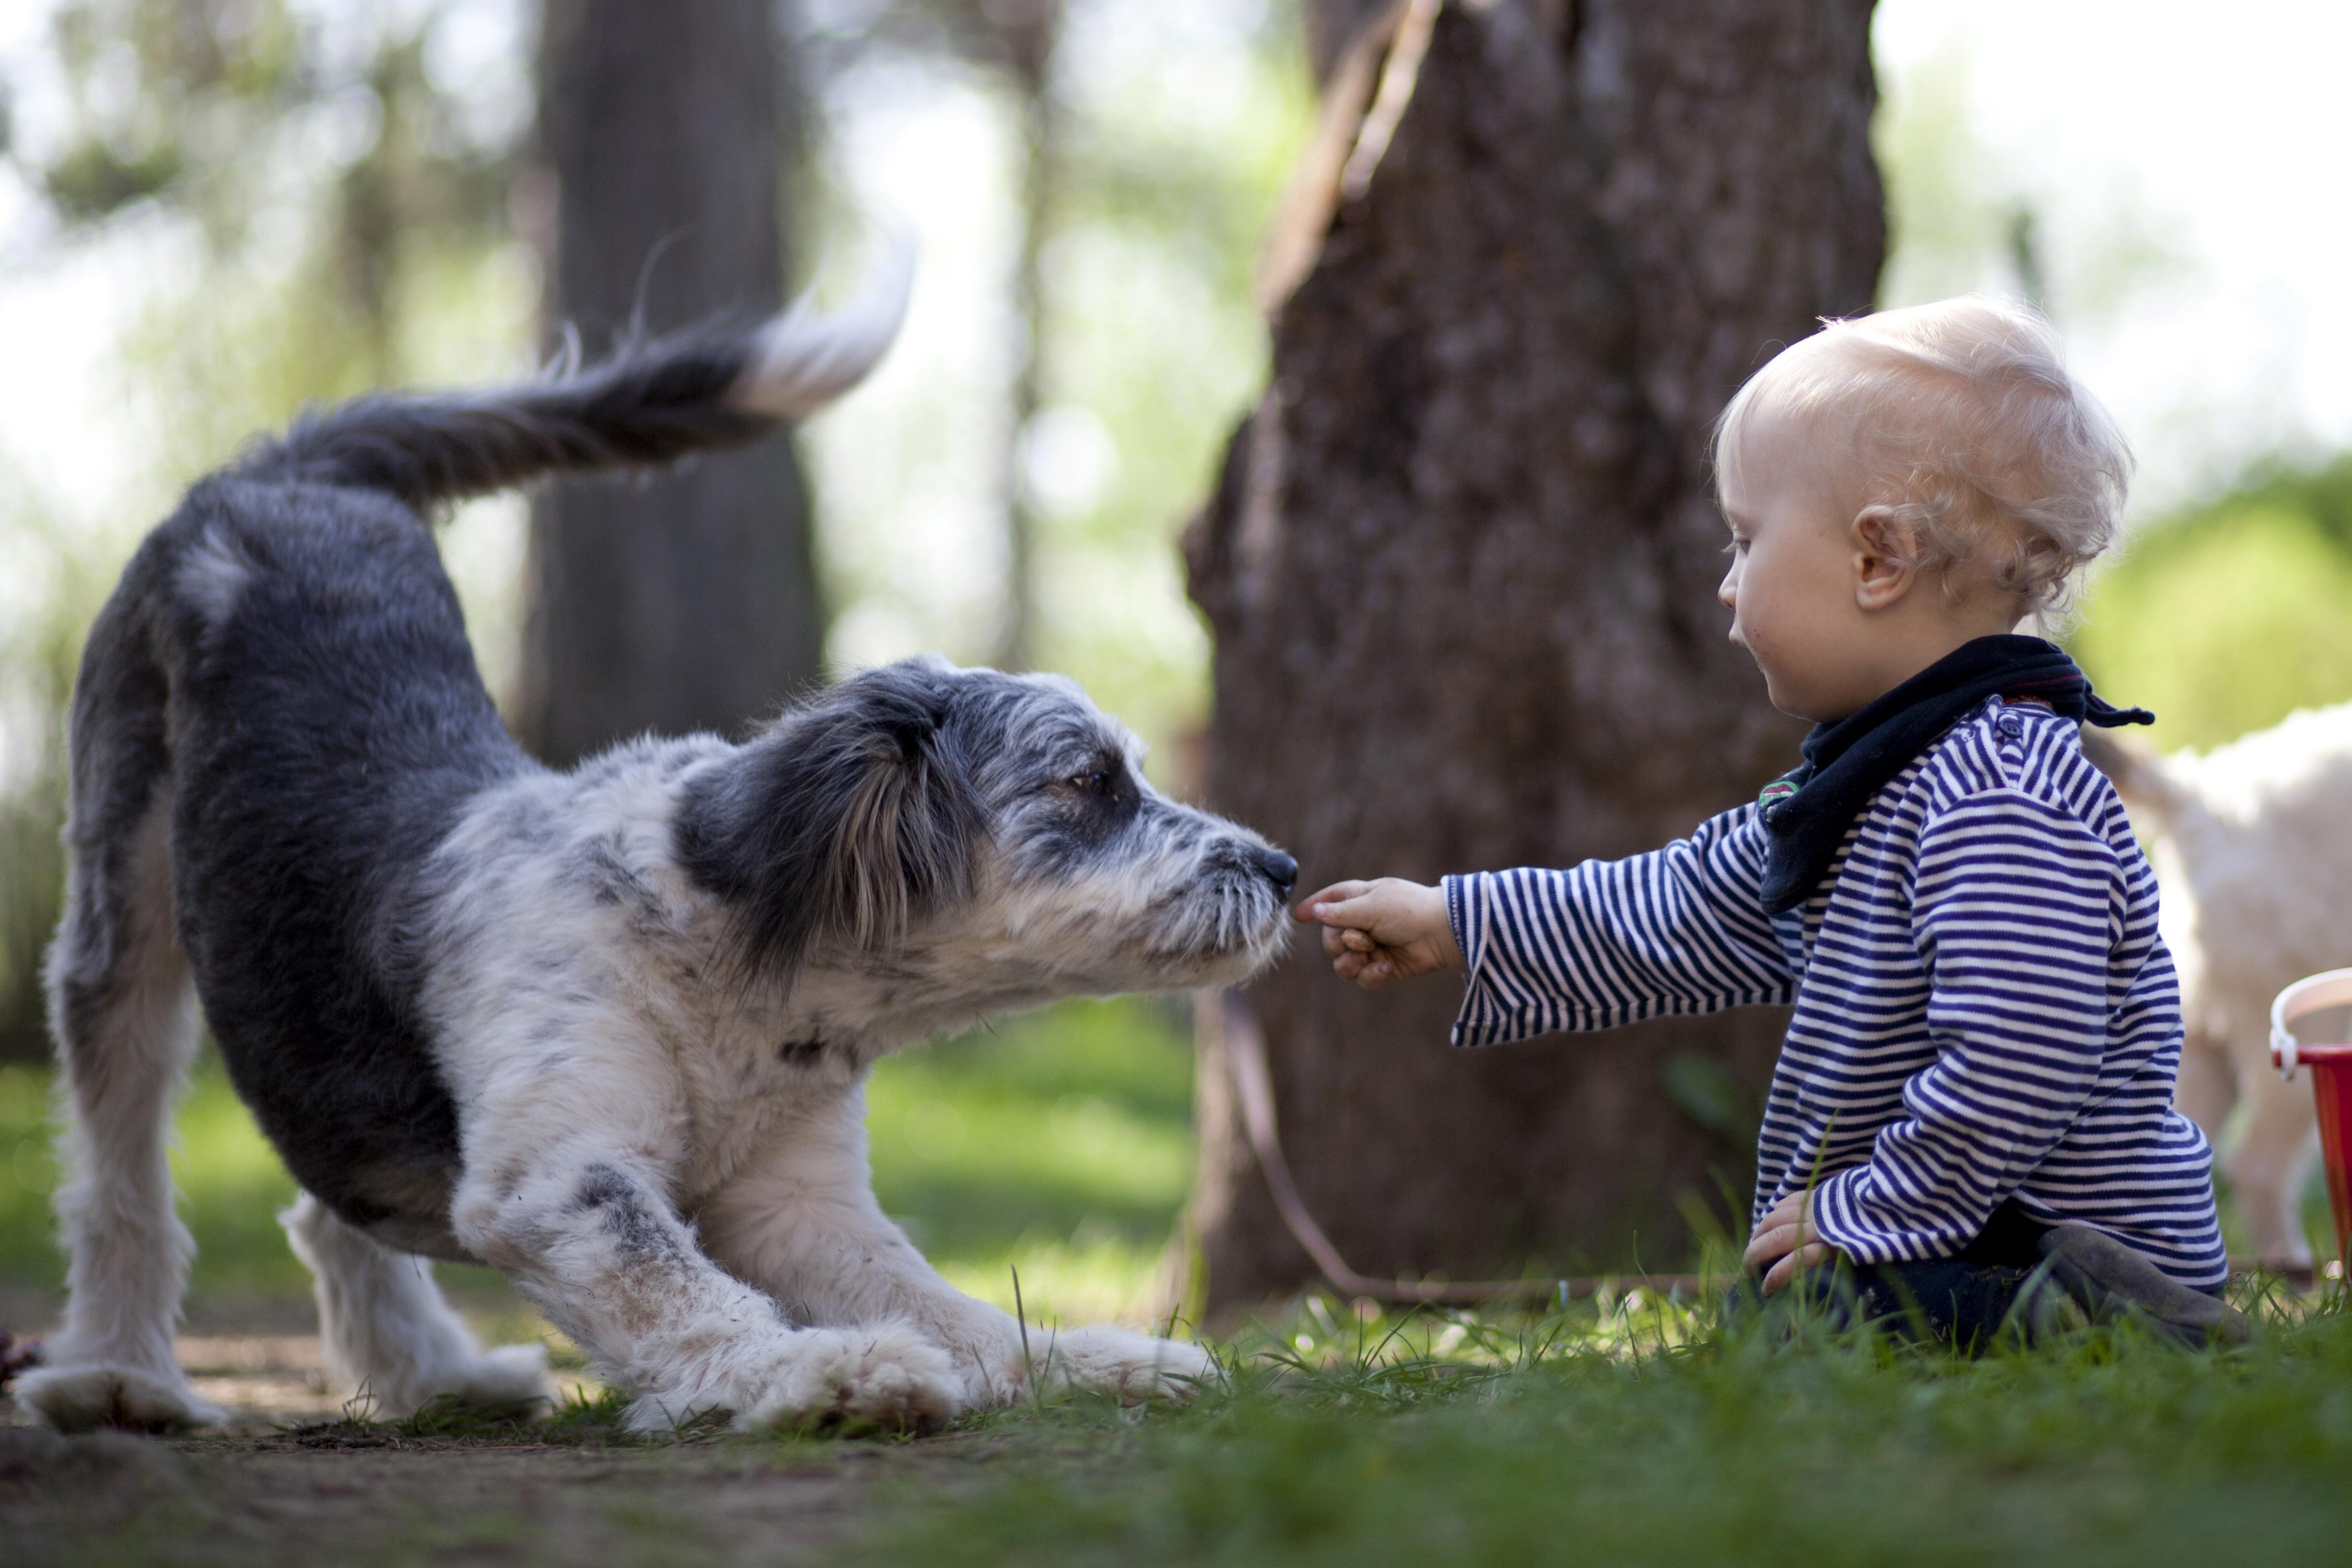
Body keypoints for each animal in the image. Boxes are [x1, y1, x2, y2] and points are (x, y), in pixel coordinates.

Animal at [22, 246, 1307, 1439]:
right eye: (1089, 781)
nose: (1285, 869)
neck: (721, 966)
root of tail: (291, 470)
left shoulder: (797, 1202)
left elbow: (950, 1306)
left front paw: (1097, 1363)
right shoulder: (561, 1177)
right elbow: (681, 1295)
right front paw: (822, 1373)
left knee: (320, 1188)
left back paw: (433, 1375)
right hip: (120, 914)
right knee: (120, 1174)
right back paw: (120, 1380)